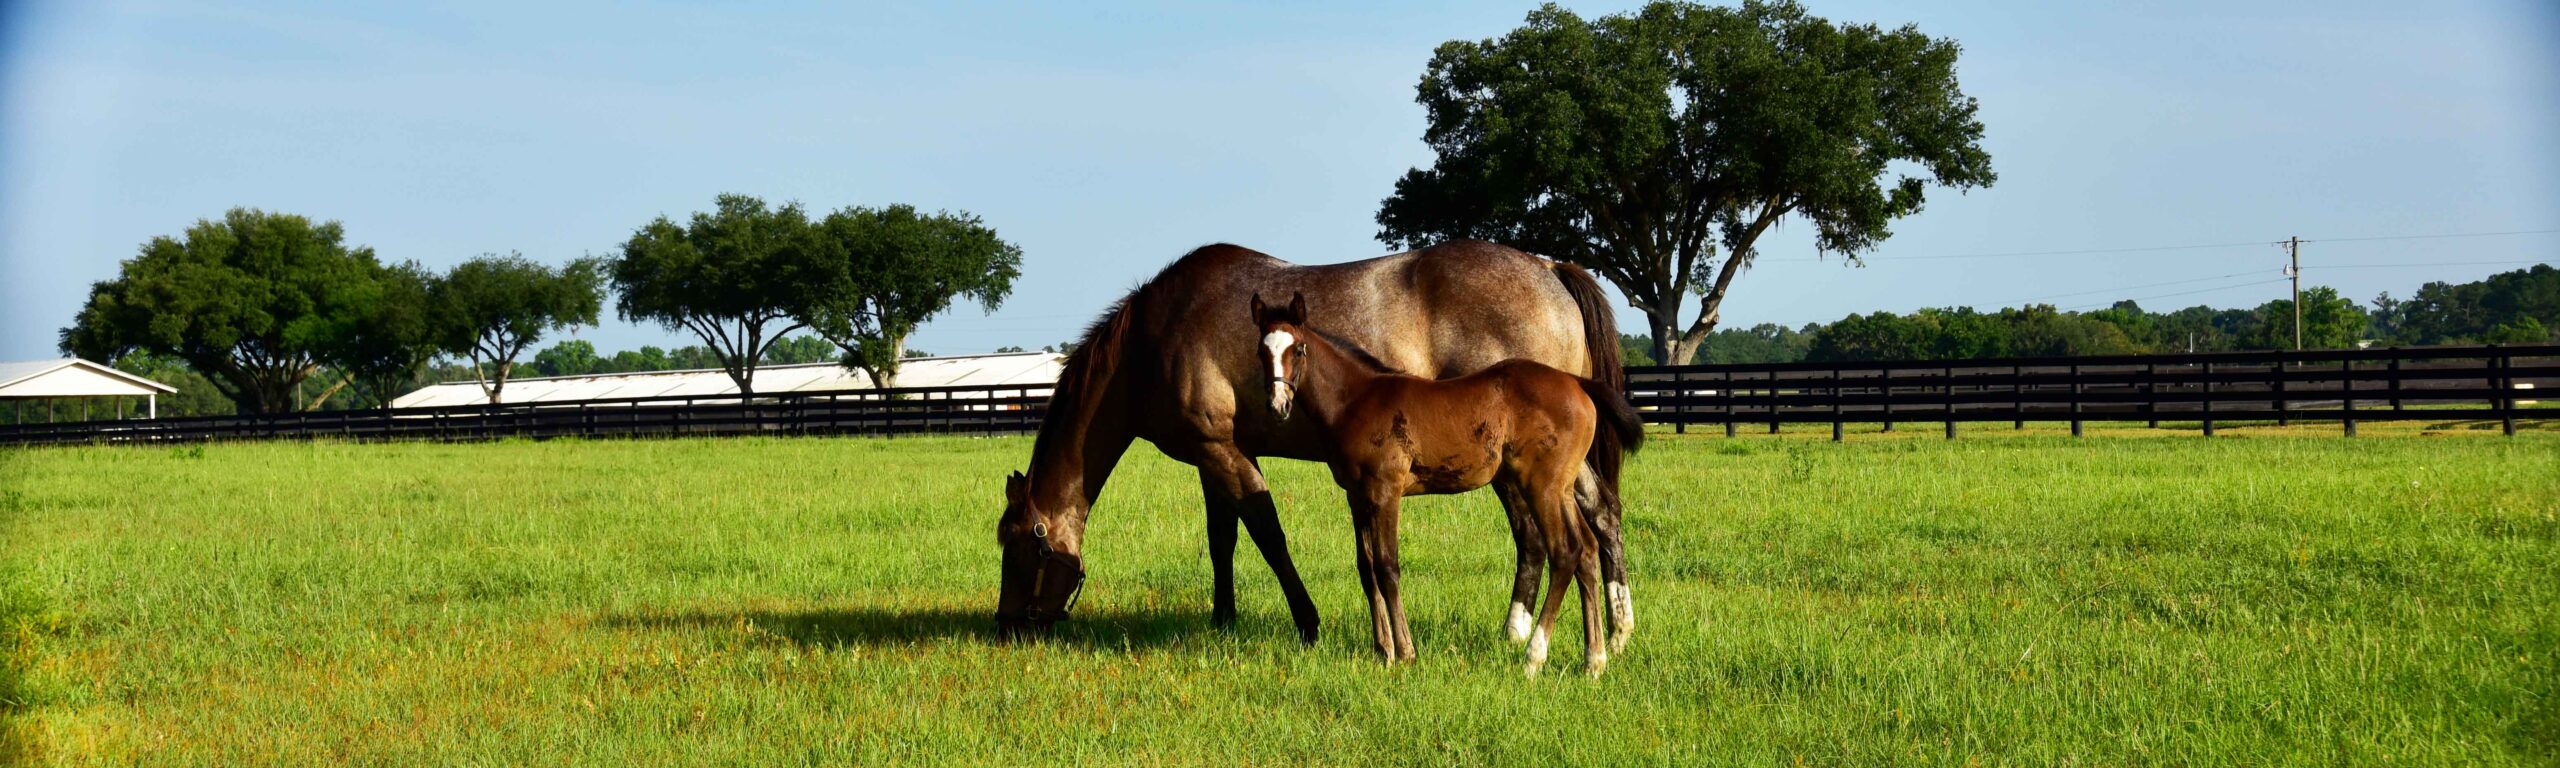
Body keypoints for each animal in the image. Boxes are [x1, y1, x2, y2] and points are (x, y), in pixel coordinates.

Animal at [988, 241, 1628, 647]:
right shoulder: (1210, 456)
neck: (1154, 338)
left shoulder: (1222, 450)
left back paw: (1529, 635)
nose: (1006, 627)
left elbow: (1268, 537)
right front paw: (1223, 620)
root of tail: (1548, 267)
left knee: (1541, 535)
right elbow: (1223, 542)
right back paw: (1613, 634)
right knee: (1600, 516)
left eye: (1017, 548)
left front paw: (1307, 622)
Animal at [1254, 290, 1648, 675]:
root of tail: (1577, 383)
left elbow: (1387, 566)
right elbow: (1366, 570)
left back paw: (1534, 657)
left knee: (1566, 551)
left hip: (1541, 486)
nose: (1277, 406)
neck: (1356, 400)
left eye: (1298, 349)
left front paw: (1405, 653)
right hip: (1561, 488)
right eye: (1262, 351)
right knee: (1588, 550)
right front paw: (1382, 652)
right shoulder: (1357, 496)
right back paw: (1594, 660)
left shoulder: (1386, 491)